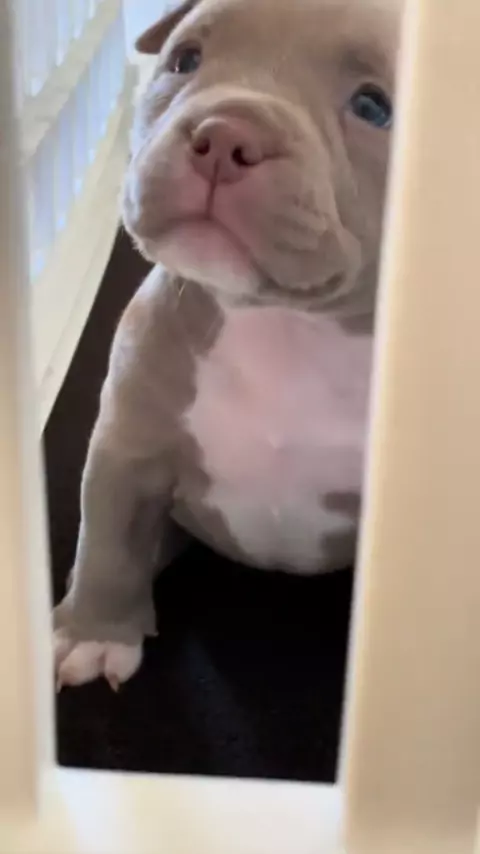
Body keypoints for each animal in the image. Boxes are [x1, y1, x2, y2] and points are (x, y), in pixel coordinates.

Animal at [54, 0, 402, 689]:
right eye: (185, 59)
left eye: (374, 107)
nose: (224, 134)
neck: (281, 327)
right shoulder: (126, 445)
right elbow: (108, 534)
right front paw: (93, 633)